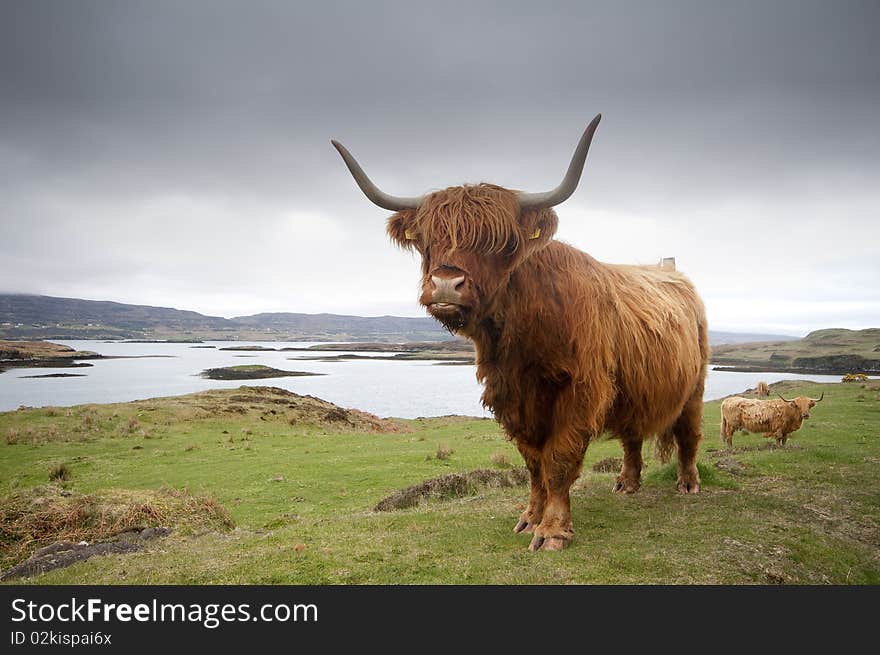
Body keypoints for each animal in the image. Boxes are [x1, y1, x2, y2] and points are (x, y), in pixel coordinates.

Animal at [330, 115, 708, 552]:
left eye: (500, 242)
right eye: (427, 240)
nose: (446, 284)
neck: (523, 335)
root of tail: (670, 270)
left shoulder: (580, 389)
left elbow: (558, 459)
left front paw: (553, 530)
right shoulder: (510, 394)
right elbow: (533, 461)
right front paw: (530, 517)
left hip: (695, 383)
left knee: (688, 432)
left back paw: (688, 483)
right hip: (632, 388)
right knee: (632, 435)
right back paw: (627, 484)